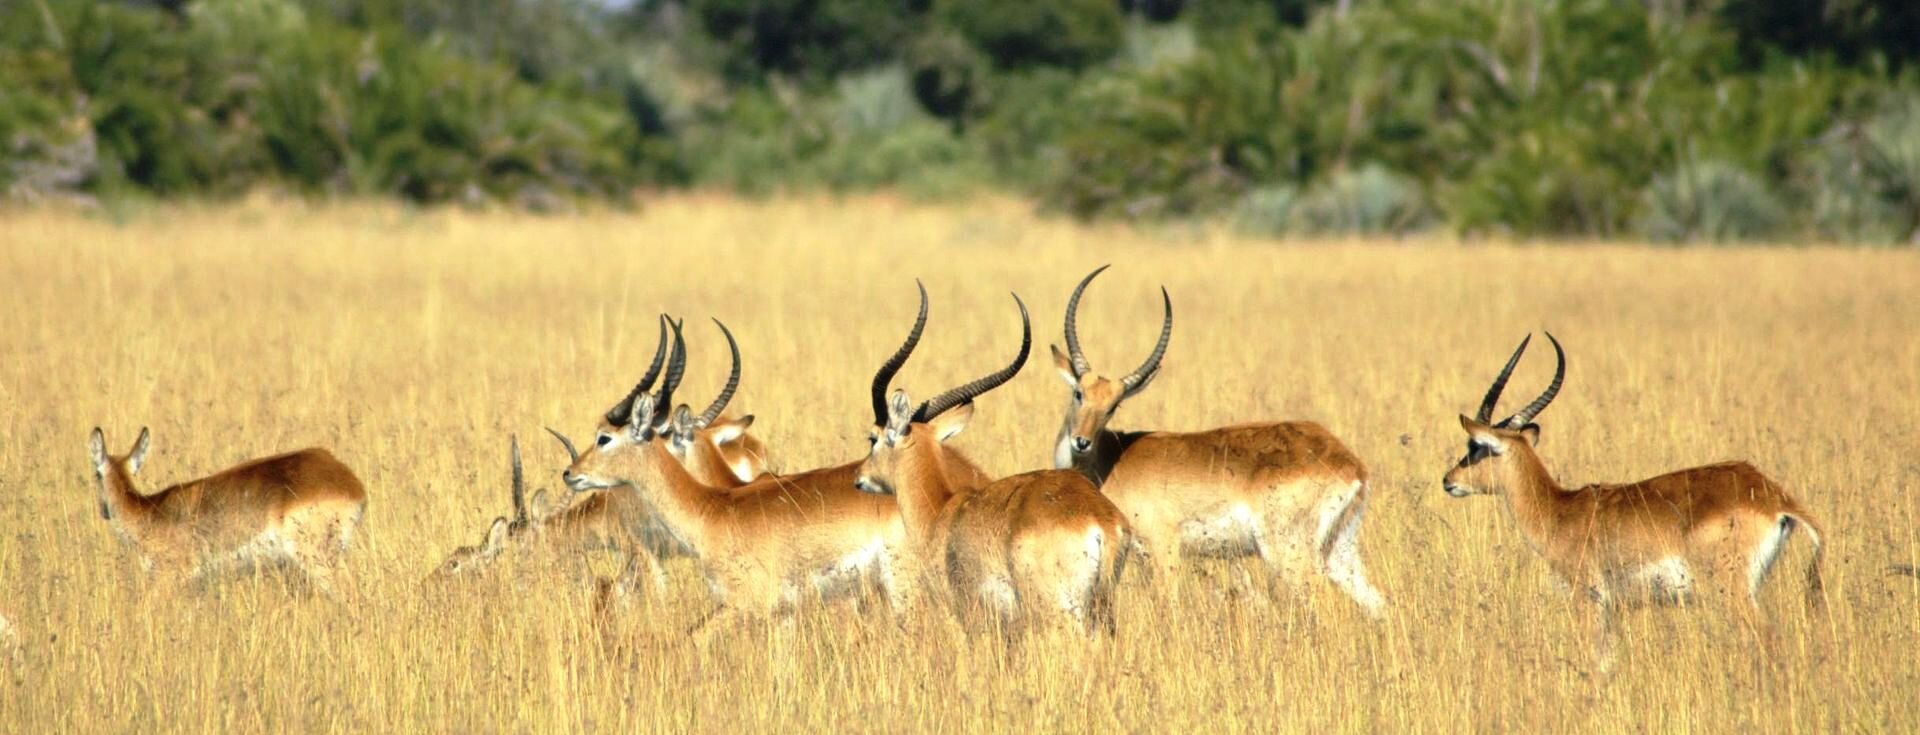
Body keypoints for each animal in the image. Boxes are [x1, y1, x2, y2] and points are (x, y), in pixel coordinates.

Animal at [1044, 268, 1390, 617]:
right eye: (1079, 393)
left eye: (1114, 405)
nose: (1081, 441)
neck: (1111, 461)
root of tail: (1350, 464)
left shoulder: (1164, 549)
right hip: (1340, 552)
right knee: (1378, 603)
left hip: (1289, 553)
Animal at [1443, 333, 1827, 675]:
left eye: (1476, 446)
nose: (1449, 480)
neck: (1560, 510)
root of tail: (1772, 495)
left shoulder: (1587, 598)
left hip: (1731, 592)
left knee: (1769, 639)